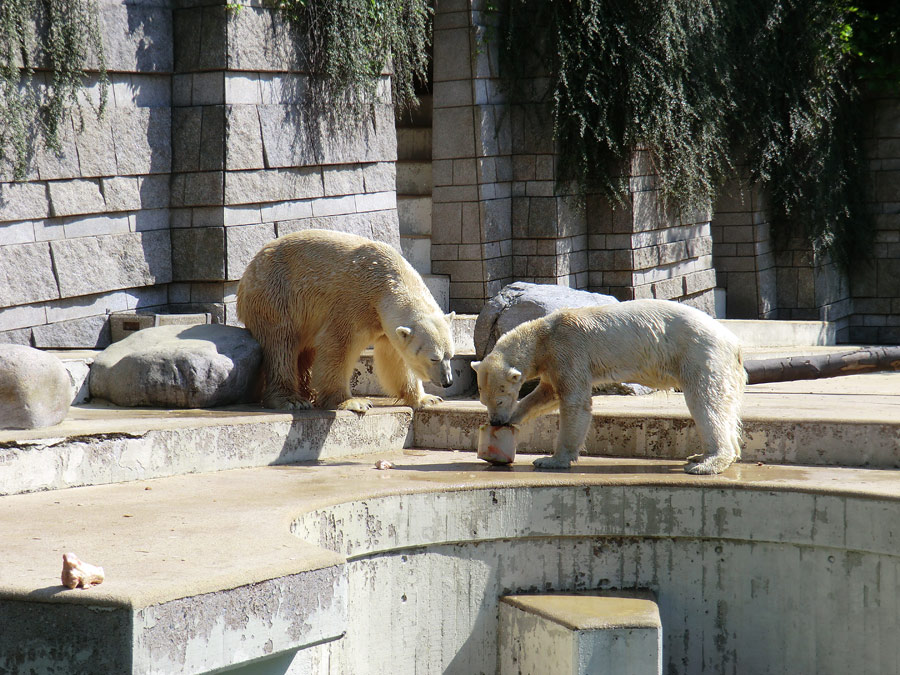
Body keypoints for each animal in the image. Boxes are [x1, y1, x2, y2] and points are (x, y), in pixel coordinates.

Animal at [237, 230, 454, 412]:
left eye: (449, 355)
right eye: (433, 358)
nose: (447, 382)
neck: (385, 279)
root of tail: (249, 270)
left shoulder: (386, 325)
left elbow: (396, 359)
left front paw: (427, 398)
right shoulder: (352, 301)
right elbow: (337, 345)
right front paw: (352, 402)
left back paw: (309, 394)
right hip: (275, 294)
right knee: (281, 344)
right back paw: (292, 400)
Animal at [472, 298, 744, 472]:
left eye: (499, 399)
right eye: (483, 400)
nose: (496, 420)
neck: (544, 335)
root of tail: (733, 342)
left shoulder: (568, 350)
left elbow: (574, 401)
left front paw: (551, 460)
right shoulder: (552, 362)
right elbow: (547, 394)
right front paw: (514, 417)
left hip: (699, 353)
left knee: (705, 400)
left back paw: (707, 463)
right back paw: (703, 455)